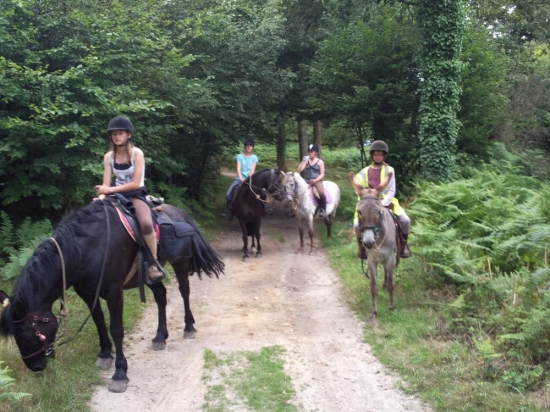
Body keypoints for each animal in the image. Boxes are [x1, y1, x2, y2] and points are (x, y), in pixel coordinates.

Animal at [0, 200, 224, 392]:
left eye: (24, 335)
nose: (36, 367)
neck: (85, 249)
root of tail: (180, 212)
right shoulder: (87, 292)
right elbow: (99, 320)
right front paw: (105, 354)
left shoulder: (114, 292)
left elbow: (116, 329)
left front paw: (120, 373)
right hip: (148, 277)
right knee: (161, 295)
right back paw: (160, 336)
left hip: (181, 264)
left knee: (185, 291)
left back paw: (189, 327)